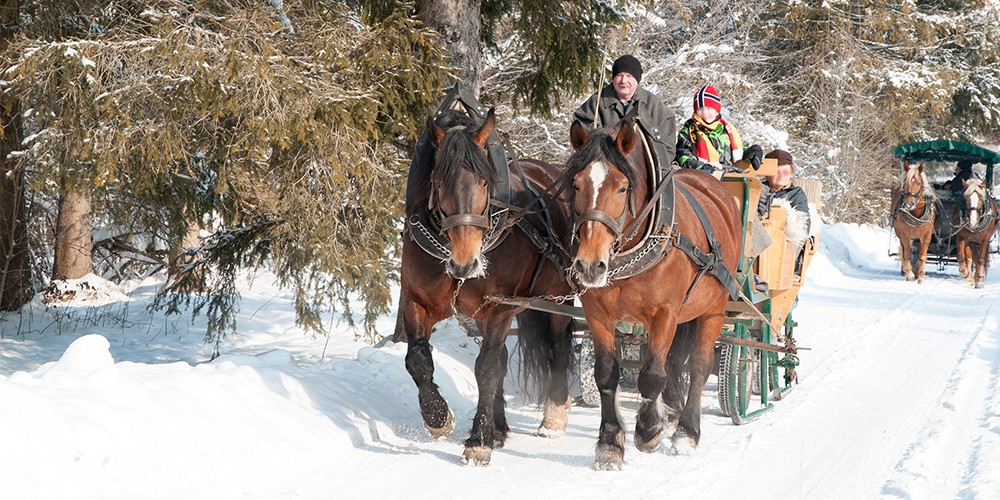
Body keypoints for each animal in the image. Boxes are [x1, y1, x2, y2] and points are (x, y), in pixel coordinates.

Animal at [398, 107, 576, 466]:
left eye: (484, 181)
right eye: (438, 182)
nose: (465, 262)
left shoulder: (500, 307)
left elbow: (487, 368)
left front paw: (478, 442)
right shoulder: (416, 300)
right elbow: (418, 360)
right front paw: (437, 417)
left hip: (557, 298)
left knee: (559, 346)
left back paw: (553, 416)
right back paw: (499, 426)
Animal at [564, 120, 744, 468]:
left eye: (622, 188)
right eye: (576, 185)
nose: (590, 265)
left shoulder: (665, 314)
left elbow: (651, 376)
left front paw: (648, 432)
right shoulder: (597, 314)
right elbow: (606, 374)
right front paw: (609, 444)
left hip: (713, 307)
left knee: (698, 366)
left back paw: (686, 433)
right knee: (674, 363)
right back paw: (672, 411)